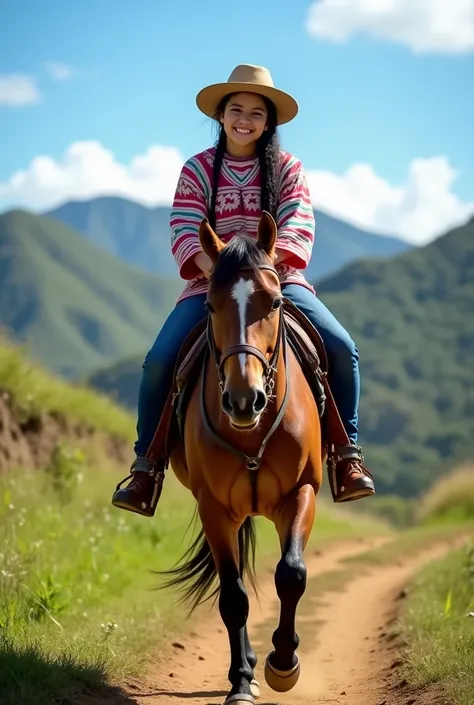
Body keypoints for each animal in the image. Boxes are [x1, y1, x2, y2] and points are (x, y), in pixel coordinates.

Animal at [157, 212, 324, 700]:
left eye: (275, 302)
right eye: (210, 307)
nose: (243, 400)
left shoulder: (302, 491)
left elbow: (291, 573)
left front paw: (283, 664)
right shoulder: (213, 507)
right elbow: (233, 597)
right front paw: (242, 682)